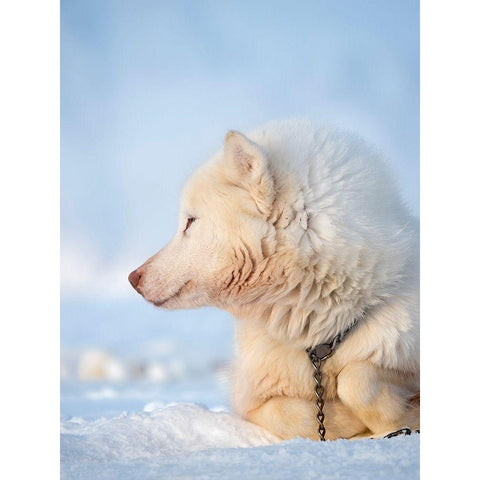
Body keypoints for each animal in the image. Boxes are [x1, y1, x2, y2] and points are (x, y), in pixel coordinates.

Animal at [128, 119, 420, 438]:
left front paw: (403, 416)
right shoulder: (251, 400)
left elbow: (356, 379)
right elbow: (296, 415)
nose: (133, 278)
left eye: (189, 221)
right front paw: (349, 421)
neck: (321, 338)